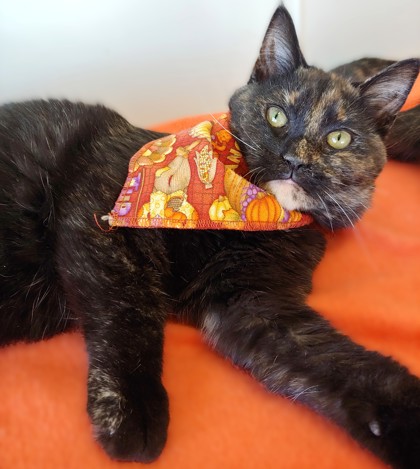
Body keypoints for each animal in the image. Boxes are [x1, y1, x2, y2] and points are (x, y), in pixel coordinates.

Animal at [0, 5, 420, 468]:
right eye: (276, 115)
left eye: (339, 138)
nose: (294, 161)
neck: (244, 215)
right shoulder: (102, 213)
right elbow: (129, 312)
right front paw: (132, 410)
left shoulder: (252, 304)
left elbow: (342, 364)